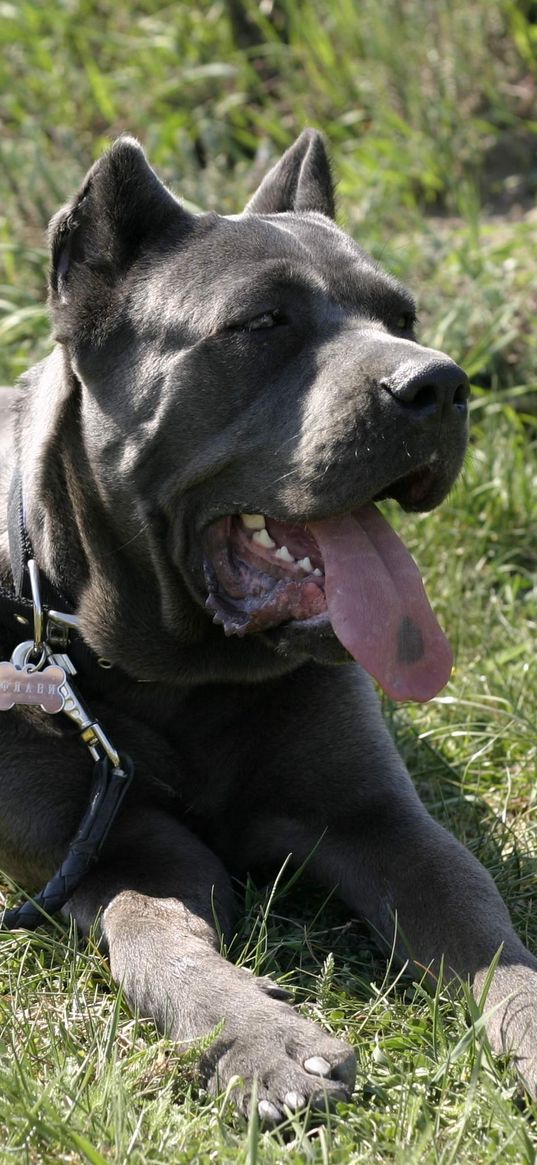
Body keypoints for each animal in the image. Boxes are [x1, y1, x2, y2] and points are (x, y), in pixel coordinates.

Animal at [1, 129, 535, 1118]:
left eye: (402, 315)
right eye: (261, 323)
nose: (439, 383)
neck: (181, 673)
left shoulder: (377, 816)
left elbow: (476, 915)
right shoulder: (104, 849)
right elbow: (153, 936)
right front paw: (263, 1040)